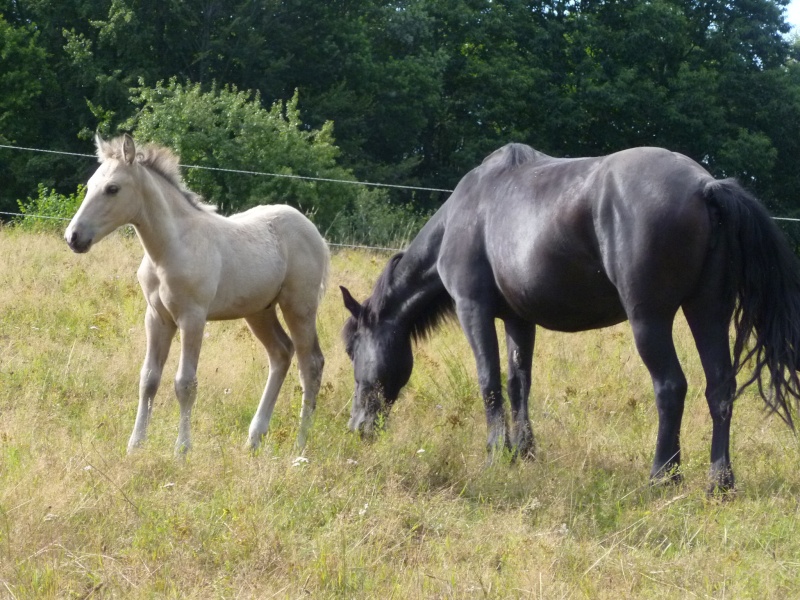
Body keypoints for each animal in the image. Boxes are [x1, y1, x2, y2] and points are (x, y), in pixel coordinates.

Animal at [340, 144, 800, 492]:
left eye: (351, 349)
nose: (357, 428)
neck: (467, 213)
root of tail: (705, 186)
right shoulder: (518, 319)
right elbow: (518, 382)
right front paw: (523, 451)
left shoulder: (474, 309)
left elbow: (489, 382)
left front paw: (495, 453)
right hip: (707, 311)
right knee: (719, 388)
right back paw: (719, 482)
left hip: (650, 320)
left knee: (671, 387)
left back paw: (662, 476)